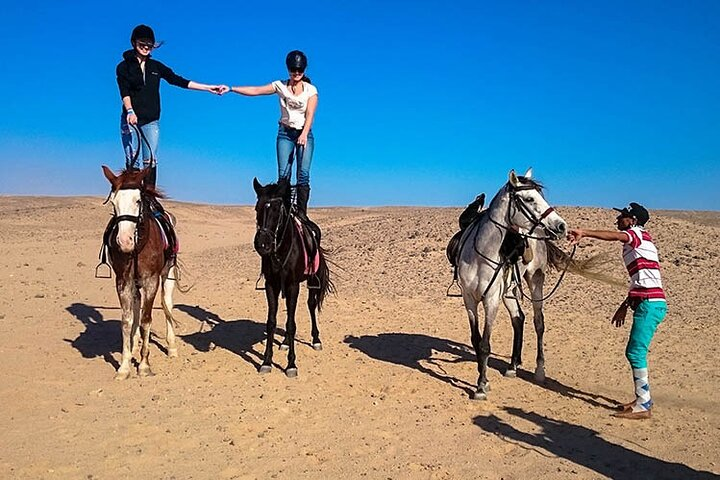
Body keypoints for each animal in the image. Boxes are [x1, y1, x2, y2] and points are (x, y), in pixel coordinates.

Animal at [101, 167, 180, 380]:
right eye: (113, 202)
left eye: (138, 200)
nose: (124, 241)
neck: (138, 247)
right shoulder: (123, 281)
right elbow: (127, 321)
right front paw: (124, 366)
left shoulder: (151, 281)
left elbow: (146, 320)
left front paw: (144, 365)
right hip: (135, 284)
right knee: (137, 305)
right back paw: (134, 345)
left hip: (168, 274)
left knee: (167, 304)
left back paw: (172, 348)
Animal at [252, 178, 334, 376]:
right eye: (257, 208)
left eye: (277, 211)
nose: (262, 244)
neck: (281, 249)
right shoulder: (272, 285)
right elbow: (272, 322)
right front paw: (266, 361)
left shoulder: (292, 285)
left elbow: (291, 324)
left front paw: (291, 364)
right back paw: (285, 343)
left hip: (311, 280)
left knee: (311, 305)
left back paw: (316, 339)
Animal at [456, 170, 568, 402]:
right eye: (529, 198)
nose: (561, 226)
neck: (481, 253)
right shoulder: (469, 299)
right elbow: (476, 340)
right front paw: (483, 379)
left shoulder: (490, 300)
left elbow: (485, 344)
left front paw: (481, 386)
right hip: (508, 291)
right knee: (518, 318)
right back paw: (513, 365)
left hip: (535, 281)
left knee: (538, 322)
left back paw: (539, 371)